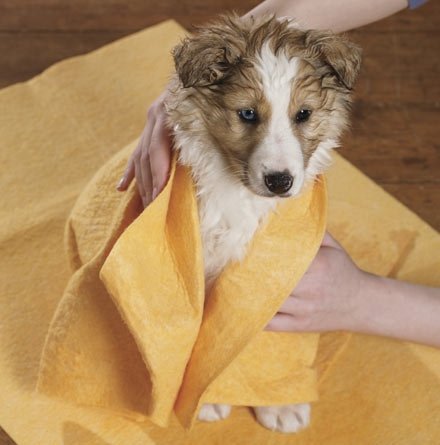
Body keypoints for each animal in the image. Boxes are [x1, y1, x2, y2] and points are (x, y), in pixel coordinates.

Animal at [165, 14, 360, 434]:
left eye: (303, 114)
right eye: (248, 114)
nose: (279, 181)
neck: (243, 195)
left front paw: (282, 404)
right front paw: (209, 399)